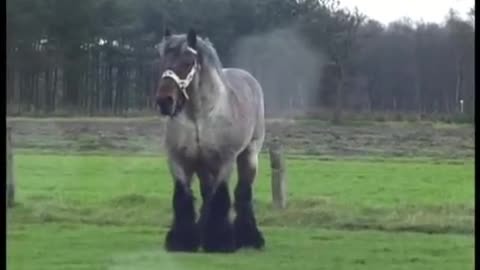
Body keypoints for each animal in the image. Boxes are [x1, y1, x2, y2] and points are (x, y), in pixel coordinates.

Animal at [155, 28, 264, 252]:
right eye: (162, 60)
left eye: (188, 61)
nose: (164, 101)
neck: (199, 115)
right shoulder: (178, 161)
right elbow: (182, 197)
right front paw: (182, 240)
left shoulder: (225, 161)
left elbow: (221, 197)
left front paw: (220, 241)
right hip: (204, 166)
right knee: (207, 194)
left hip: (249, 155)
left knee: (243, 192)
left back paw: (249, 237)